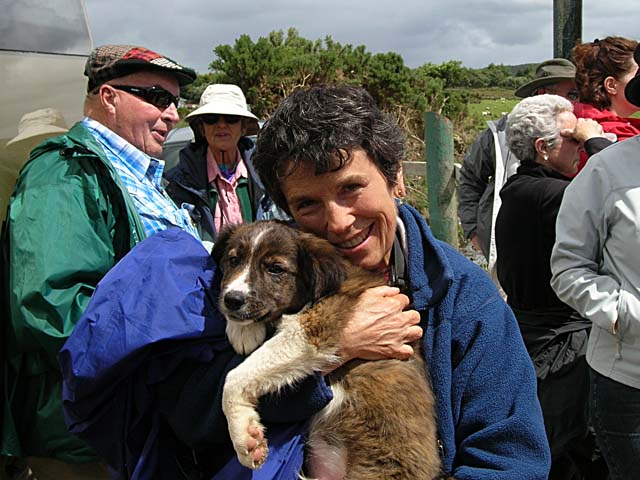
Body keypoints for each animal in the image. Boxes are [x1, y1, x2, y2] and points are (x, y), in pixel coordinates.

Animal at [212, 221, 442, 480]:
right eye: (233, 260)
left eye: (275, 269)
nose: (232, 300)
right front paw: (243, 330)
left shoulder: (314, 329)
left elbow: (235, 377)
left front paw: (244, 437)